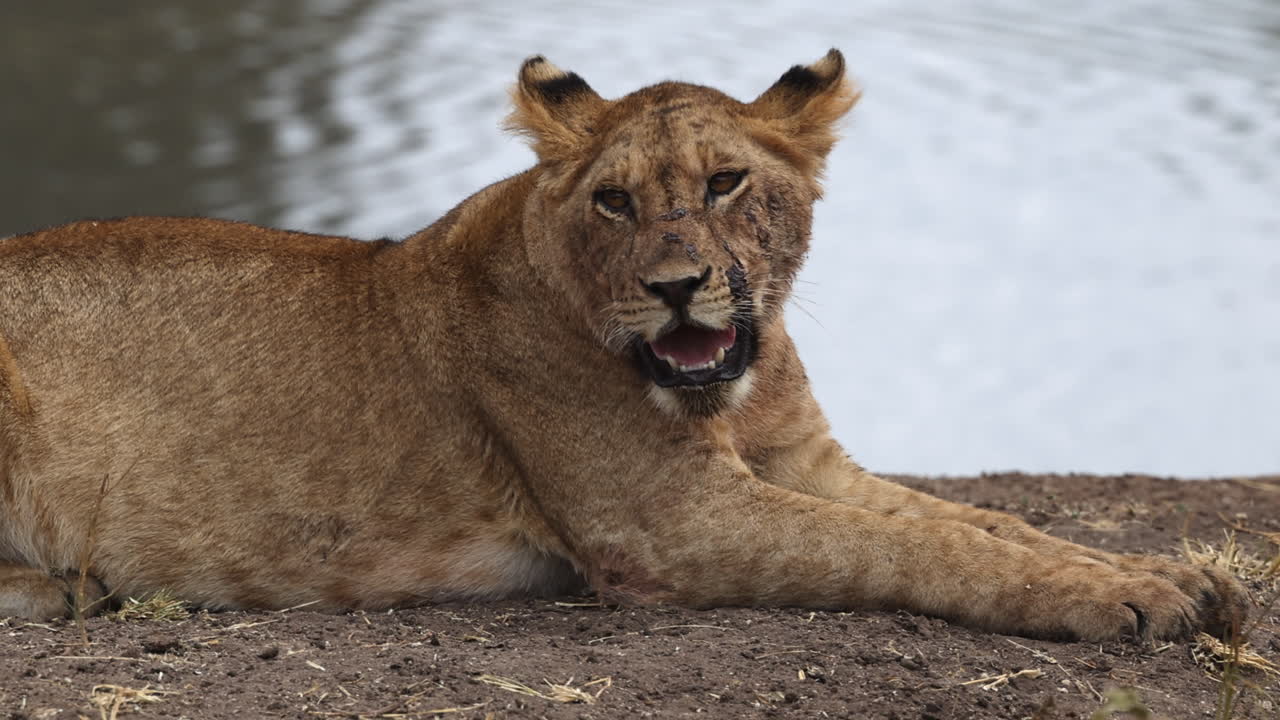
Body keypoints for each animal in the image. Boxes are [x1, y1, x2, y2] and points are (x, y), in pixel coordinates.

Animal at [0, 50, 1248, 641]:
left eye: (725, 181)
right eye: (613, 201)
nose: (677, 288)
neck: (740, 384)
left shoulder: (804, 461)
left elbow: (984, 519)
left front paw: (1169, 574)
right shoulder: (667, 525)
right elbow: (920, 547)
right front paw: (1119, 601)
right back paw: (59, 590)